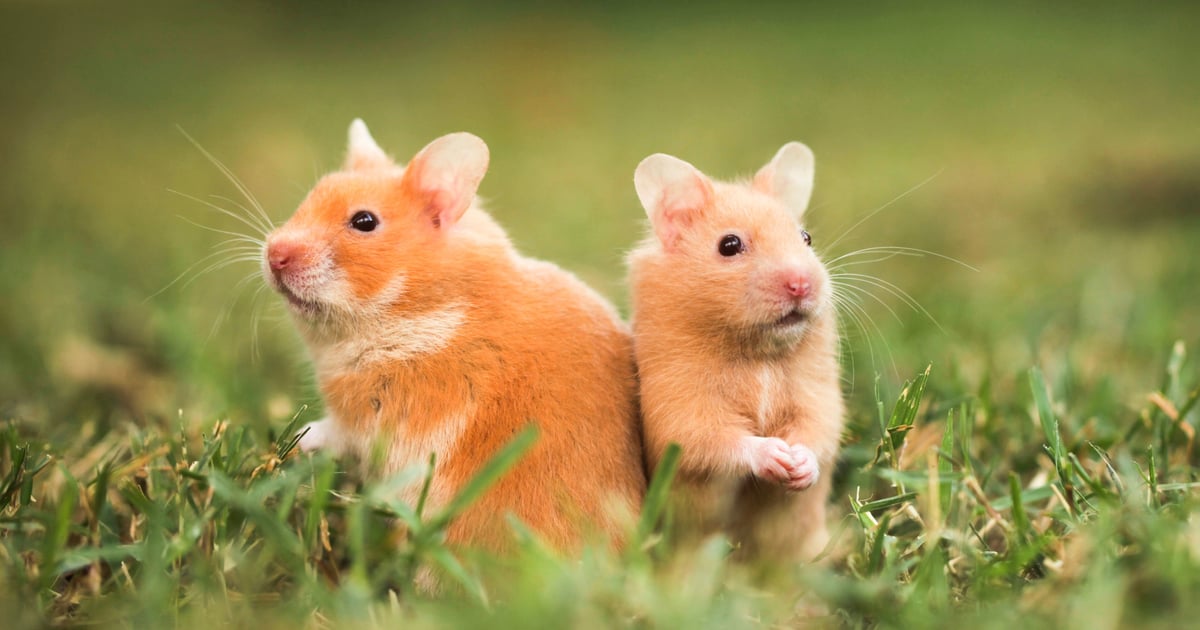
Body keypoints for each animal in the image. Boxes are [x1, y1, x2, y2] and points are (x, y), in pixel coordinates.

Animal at [264, 120, 645, 554]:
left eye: (364, 221)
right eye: (311, 197)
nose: (273, 255)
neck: (420, 310)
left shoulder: (374, 419)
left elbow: (335, 432)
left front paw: (299, 439)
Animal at [627, 143, 844, 561]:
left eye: (806, 237)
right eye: (729, 245)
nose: (801, 284)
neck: (756, 353)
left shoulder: (816, 395)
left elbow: (818, 431)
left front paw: (799, 466)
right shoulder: (682, 409)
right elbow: (718, 441)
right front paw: (776, 456)